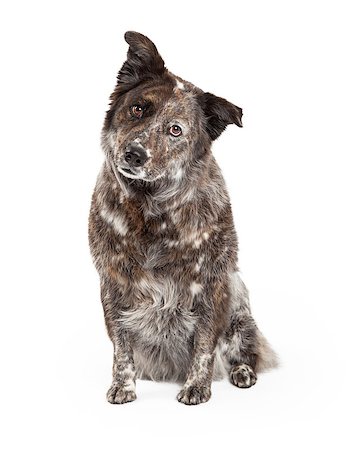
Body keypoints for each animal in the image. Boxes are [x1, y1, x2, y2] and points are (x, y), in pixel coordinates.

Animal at [88, 31, 278, 404]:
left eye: (175, 130)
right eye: (138, 108)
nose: (134, 154)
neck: (150, 211)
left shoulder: (212, 283)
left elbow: (204, 343)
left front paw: (196, 387)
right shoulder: (113, 283)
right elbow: (121, 346)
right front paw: (123, 386)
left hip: (239, 303)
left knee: (244, 348)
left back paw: (241, 371)